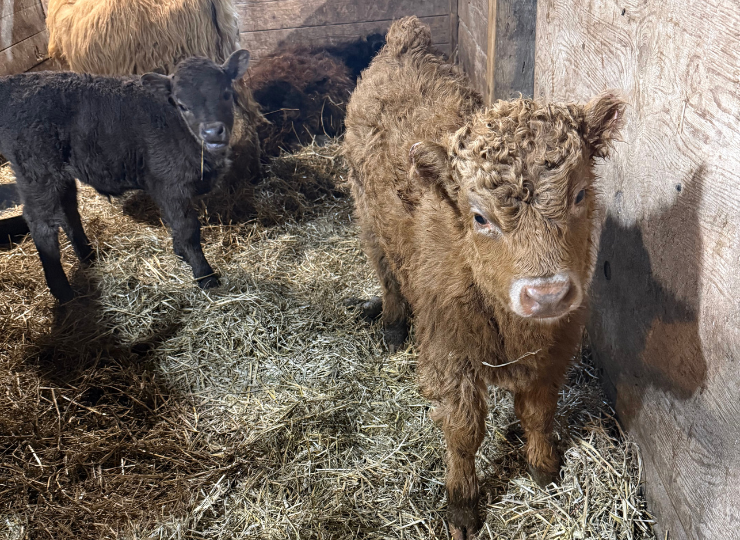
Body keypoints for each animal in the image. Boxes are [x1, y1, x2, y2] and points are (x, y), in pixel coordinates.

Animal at [0, 51, 252, 303]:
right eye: (182, 105)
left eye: (226, 93)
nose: (212, 132)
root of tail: (13, 83)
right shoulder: (170, 185)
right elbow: (187, 228)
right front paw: (205, 276)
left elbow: (173, 222)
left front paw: (181, 254)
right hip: (37, 172)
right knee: (41, 224)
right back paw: (63, 292)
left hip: (60, 175)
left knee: (68, 210)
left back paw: (87, 255)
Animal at [343, 17, 624, 539]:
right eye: (479, 217)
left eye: (579, 195)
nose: (546, 293)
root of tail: (403, 41)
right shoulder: (450, 356)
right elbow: (463, 432)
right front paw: (462, 503)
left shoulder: (553, 351)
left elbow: (538, 412)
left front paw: (543, 467)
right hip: (367, 215)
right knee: (385, 271)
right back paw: (390, 323)